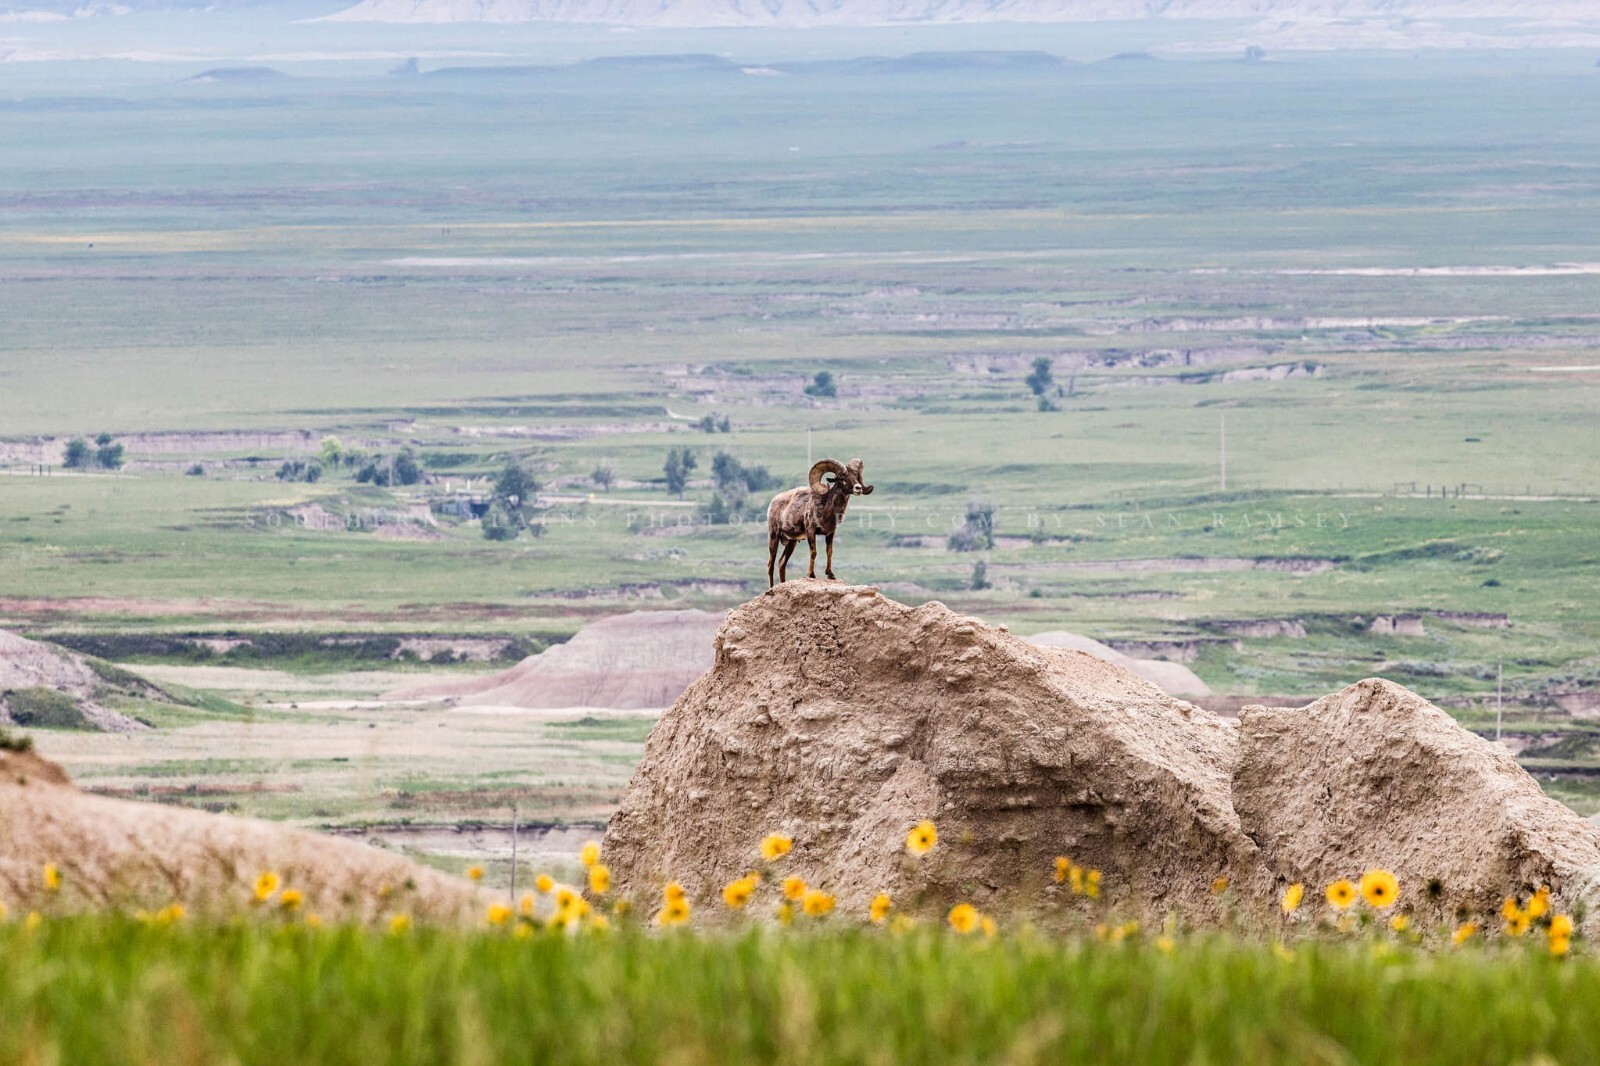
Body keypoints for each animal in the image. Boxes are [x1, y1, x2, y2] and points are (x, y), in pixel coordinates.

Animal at [766, 458, 874, 588]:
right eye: (842, 478)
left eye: (856, 476)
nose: (858, 488)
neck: (826, 509)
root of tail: (773, 502)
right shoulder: (811, 531)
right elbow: (814, 552)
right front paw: (811, 575)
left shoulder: (830, 533)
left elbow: (829, 552)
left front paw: (830, 575)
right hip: (774, 536)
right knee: (770, 565)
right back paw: (771, 588)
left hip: (792, 542)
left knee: (782, 563)